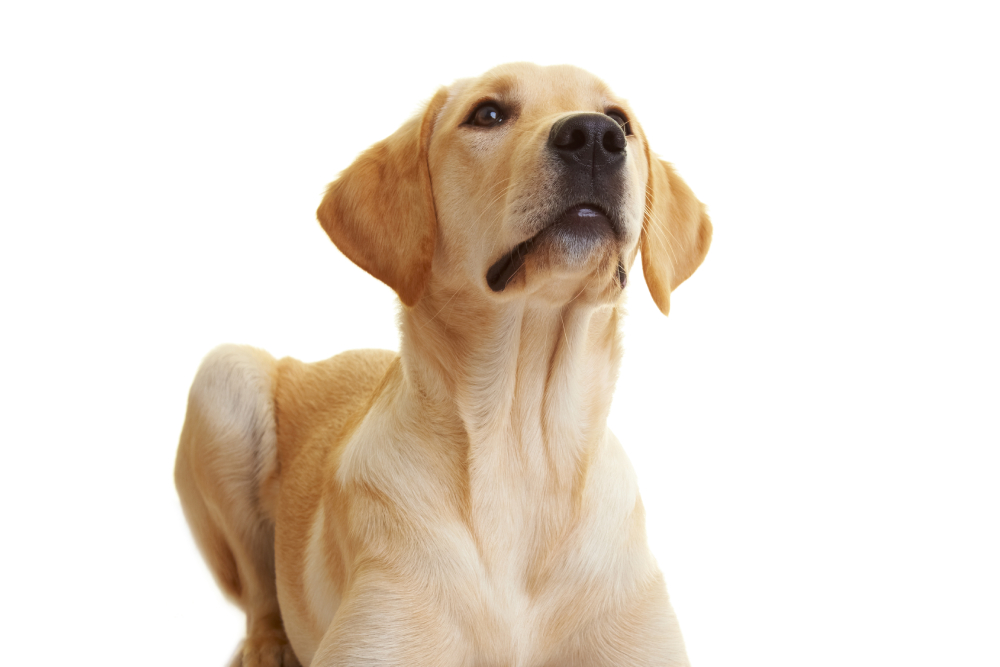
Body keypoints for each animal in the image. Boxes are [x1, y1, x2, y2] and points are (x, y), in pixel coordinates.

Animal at [178, 64, 712, 667]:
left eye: (621, 120)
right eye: (488, 114)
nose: (596, 137)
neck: (524, 450)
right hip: (222, 377)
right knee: (260, 593)